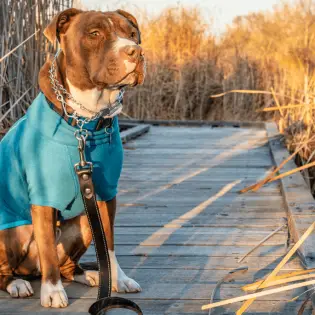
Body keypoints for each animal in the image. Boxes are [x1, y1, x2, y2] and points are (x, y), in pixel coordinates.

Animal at [0, 8, 146, 310]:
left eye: (132, 34)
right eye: (95, 34)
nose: (136, 52)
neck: (85, 120)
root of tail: (30, 270)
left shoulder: (105, 193)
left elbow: (109, 242)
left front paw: (118, 278)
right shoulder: (43, 197)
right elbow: (46, 247)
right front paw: (53, 291)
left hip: (83, 224)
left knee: (68, 264)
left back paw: (89, 275)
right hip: (9, 234)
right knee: (7, 270)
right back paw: (17, 284)